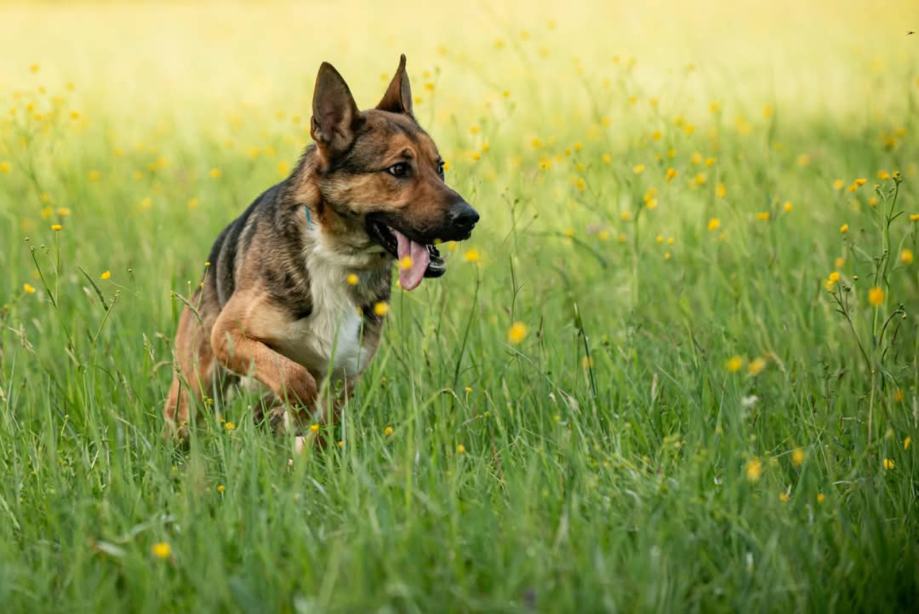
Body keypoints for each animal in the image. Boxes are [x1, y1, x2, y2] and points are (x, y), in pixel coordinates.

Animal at [164, 55, 479, 438]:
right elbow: (294, 377)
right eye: (399, 169)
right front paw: (298, 411)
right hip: (193, 390)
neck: (337, 255)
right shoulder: (229, 335)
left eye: (440, 167)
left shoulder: (344, 373)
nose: (470, 218)